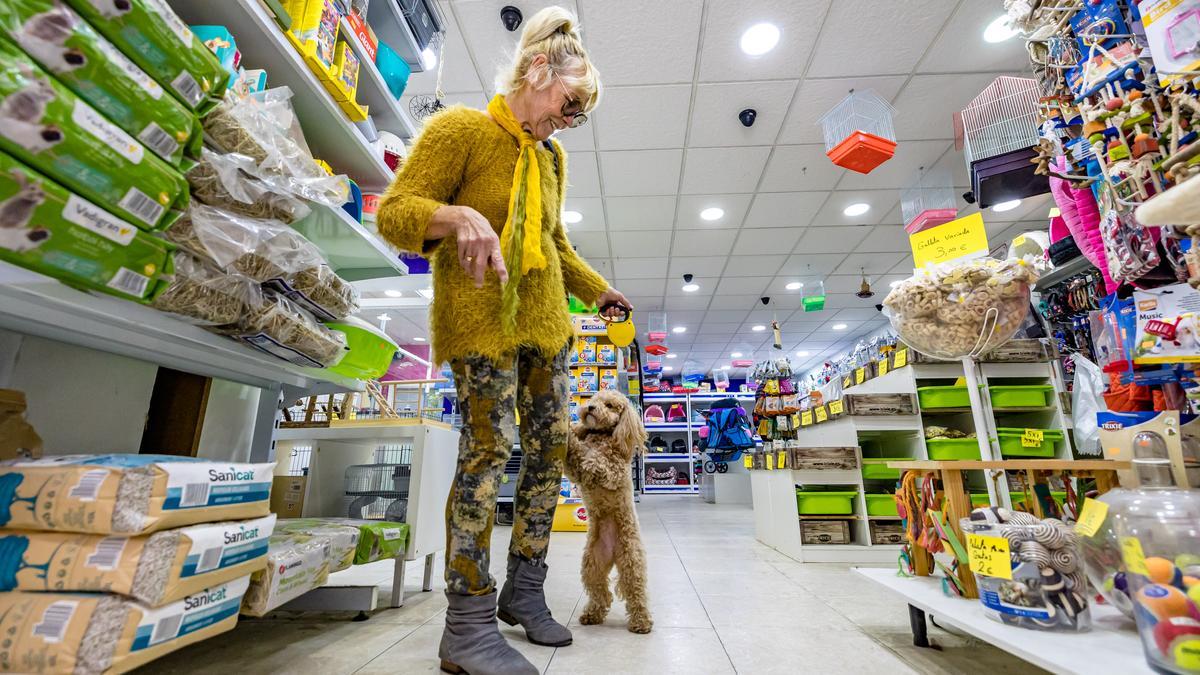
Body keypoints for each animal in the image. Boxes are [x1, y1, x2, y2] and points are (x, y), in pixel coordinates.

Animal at [564, 386, 652, 634]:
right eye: (594, 399)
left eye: (610, 405)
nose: (590, 407)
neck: (602, 435)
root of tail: (612, 552)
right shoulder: (575, 470)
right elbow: (577, 454)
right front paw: (572, 429)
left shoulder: (614, 470)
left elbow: (594, 460)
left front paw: (578, 443)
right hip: (592, 563)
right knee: (600, 592)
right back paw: (591, 615)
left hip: (631, 561)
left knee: (636, 592)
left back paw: (641, 622)